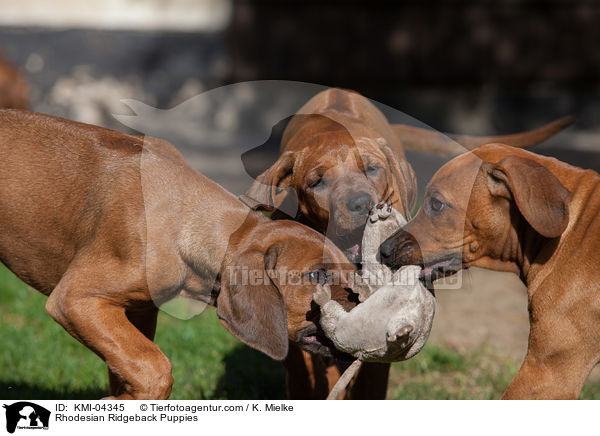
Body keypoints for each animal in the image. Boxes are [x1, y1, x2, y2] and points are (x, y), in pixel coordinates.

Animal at [0, 109, 360, 398]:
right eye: (317, 275)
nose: (363, 302)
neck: (188, 217)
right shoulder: (77, 300)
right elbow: (155, 367)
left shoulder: (136, 312)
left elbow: (132, 366)